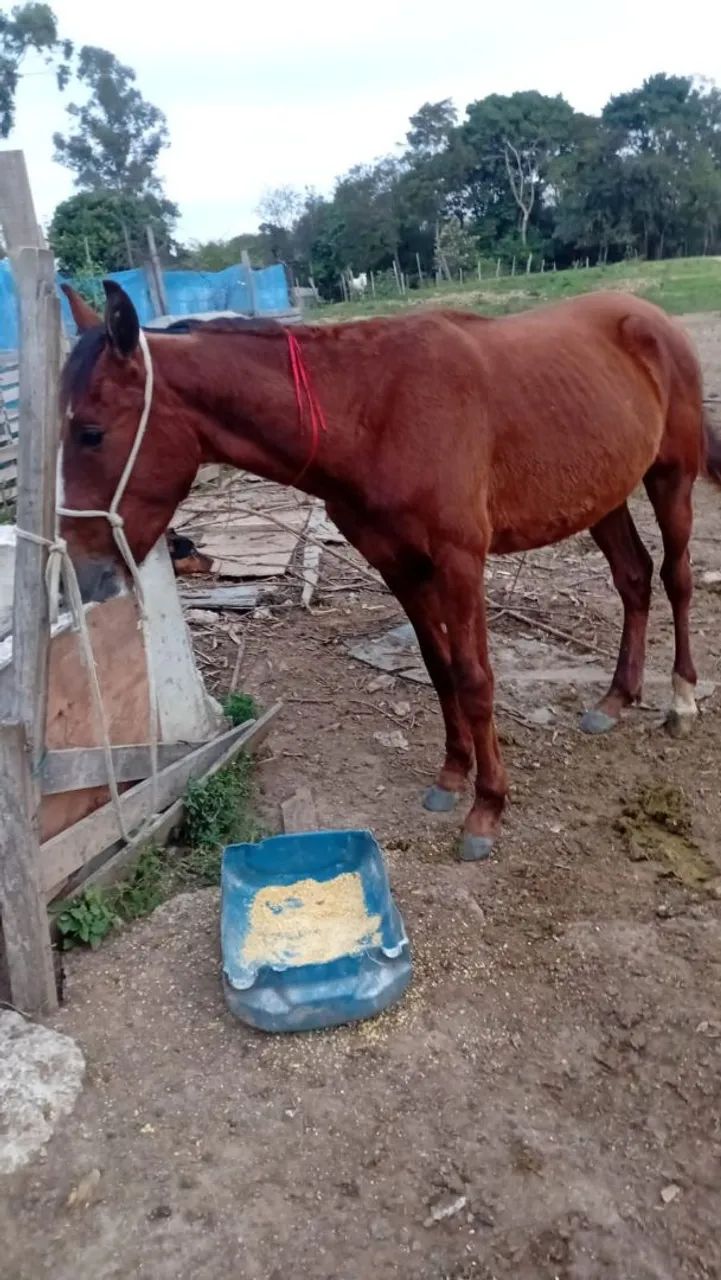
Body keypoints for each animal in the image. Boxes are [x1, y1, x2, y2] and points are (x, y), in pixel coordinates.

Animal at [58, 281, 721, 862]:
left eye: (90, 432)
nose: (83, 579)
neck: (373, 412)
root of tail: (650, 319)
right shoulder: (399, 565)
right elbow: (439, 669)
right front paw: (452, 776)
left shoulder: (459, 561)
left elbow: (475, 679)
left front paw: (487, 808)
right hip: (602, 496)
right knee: (633, 579)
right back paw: (616, 698)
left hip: (671, 477)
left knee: (677, 580)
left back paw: (682, 700)